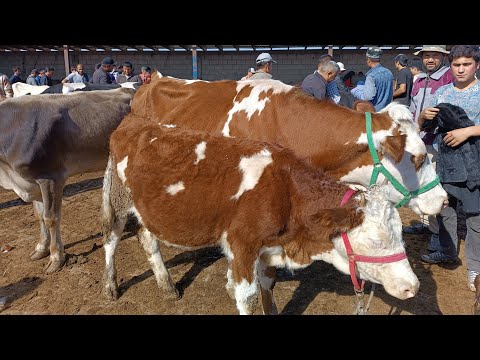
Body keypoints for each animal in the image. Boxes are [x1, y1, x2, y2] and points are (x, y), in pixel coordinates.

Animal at [0, 88, 136, 272]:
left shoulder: (51, 177)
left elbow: (51, 218)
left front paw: (56, 257)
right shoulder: (32, 182)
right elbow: (39, 216)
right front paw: (41, 248)